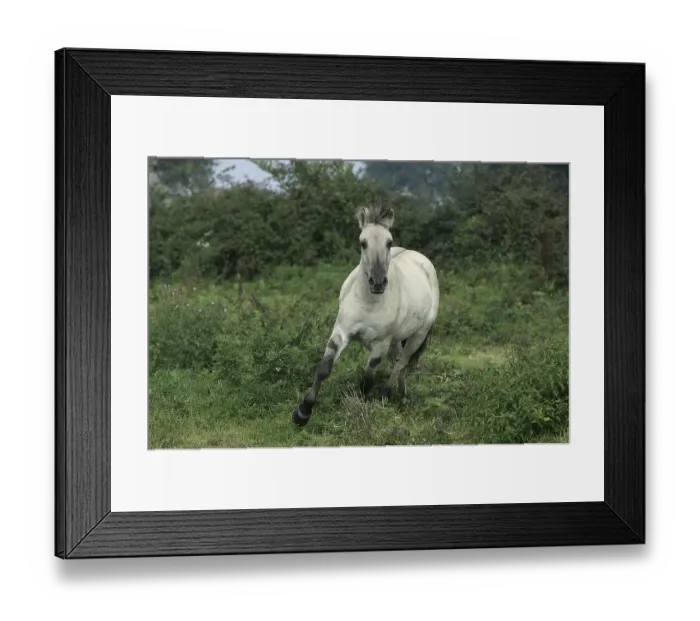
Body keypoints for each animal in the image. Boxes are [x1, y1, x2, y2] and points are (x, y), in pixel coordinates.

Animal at [292, 203, 440, 427]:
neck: (368, 302)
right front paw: (302, 413)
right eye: (363, 242)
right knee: (400, 361)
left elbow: (366, 380)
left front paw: (360, 413)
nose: (377, 282)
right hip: (397, 339)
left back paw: (386, 396)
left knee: (402, 363)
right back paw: (402, 395)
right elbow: (324, 368)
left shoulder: (380, 344)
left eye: (389, 242)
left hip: (417, 335)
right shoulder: (341, 332)